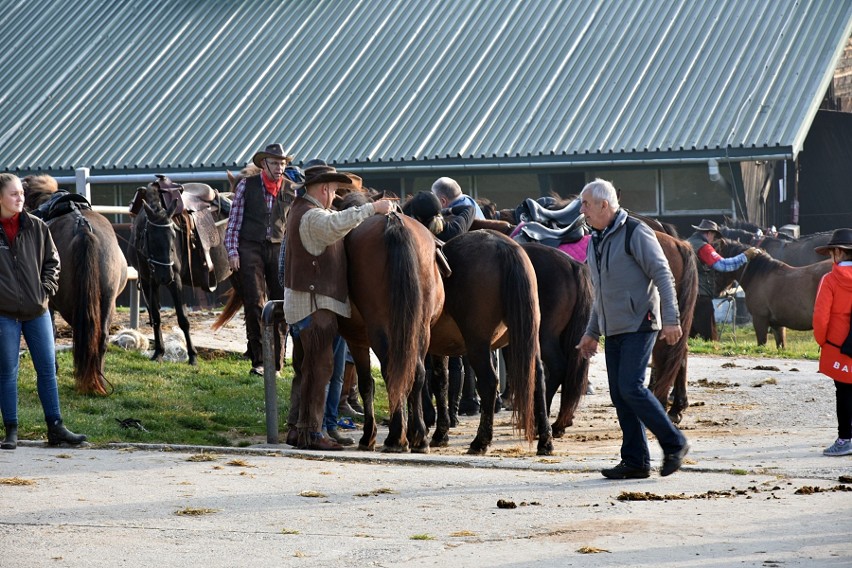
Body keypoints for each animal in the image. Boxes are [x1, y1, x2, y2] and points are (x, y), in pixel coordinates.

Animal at [21, 175, 127, 392]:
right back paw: (97, 380)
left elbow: (50, 334)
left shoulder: (48, 304)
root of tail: (83, 226)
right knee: (100, 336)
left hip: (69, 305)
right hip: (107, 301)